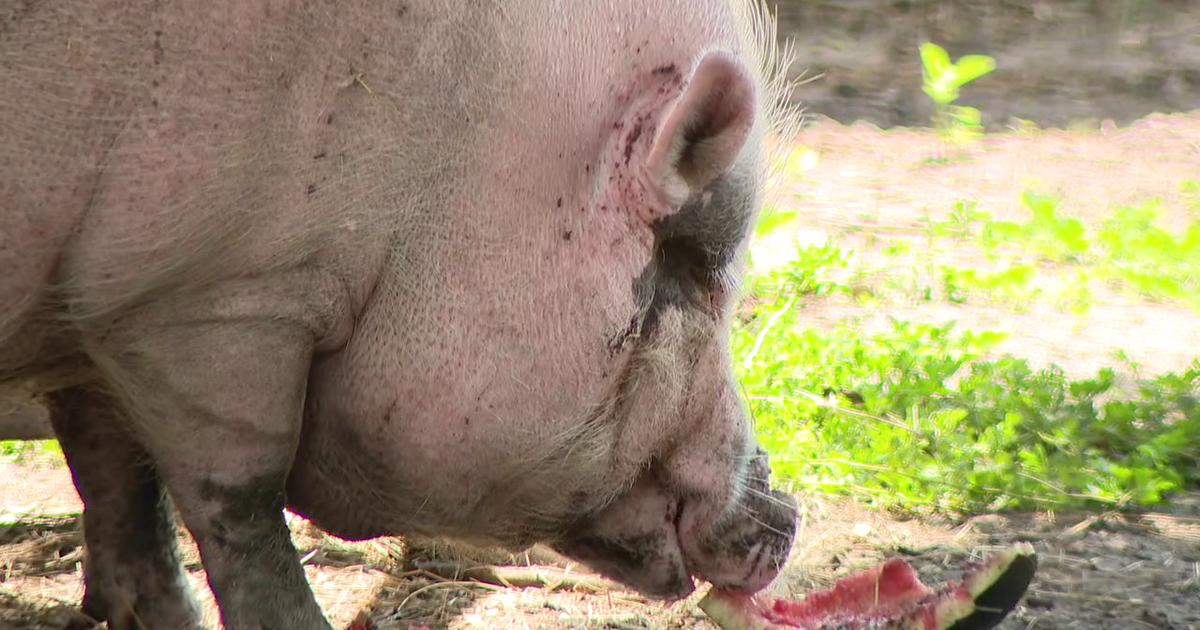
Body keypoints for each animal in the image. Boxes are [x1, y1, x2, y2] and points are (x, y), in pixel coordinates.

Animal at [0, 0, 803, 628]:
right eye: (692, 262)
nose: (788, 514)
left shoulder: (97, 323)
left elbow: (120, 478)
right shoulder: (219, 297)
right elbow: (241, 502)